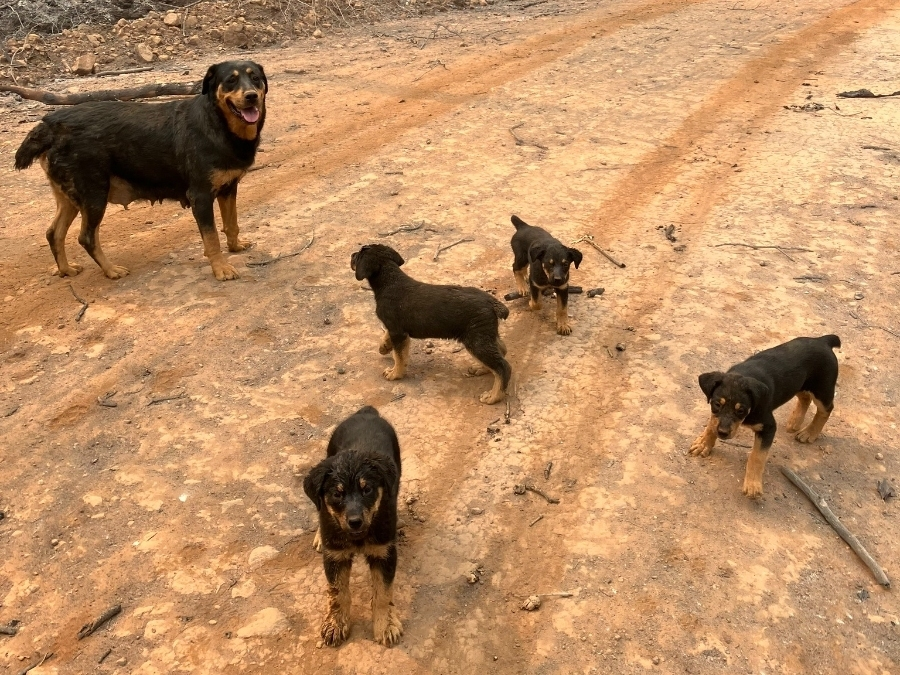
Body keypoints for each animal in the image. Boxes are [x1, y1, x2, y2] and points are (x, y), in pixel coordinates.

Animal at [13, 58, 268, 280]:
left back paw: (65, 269)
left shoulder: (228, 188)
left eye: (255, 78)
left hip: (70, 197)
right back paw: (111, 270)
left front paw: (235, 246)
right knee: (86, 237)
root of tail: (49, 125)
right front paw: (221, 268)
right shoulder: (201, 196)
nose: (252, 96)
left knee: (54, 233)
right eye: (231, 80)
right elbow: (212, 237)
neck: (218, 124)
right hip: (94, 195)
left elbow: (231, 224)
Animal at [302, 406, 400, 648]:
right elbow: (338, 593)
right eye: (337, 494)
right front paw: (336, 624)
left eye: (367, 490)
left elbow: (383, 593)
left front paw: (385, 625)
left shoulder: (384, 552)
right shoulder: (335, 556)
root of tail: (367, 412)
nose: (355, 521)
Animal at [348, 243, 510, 404]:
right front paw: (384, 347)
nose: (351, 255)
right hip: (485, 335)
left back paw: (494, 396)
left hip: (476, 340)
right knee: (501, 351)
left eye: (358, 255)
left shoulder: (397, 331)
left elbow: (399, 357)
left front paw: (395, 374)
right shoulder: (395, 329)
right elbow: (389, 340)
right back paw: (481, 369)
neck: (390, 281)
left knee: (503, 367)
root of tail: (492, 302)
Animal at [688, 336, 844, 500]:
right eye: (717, 404)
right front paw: (703, 444)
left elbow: (757, 456)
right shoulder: (716, 415)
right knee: (805, 398)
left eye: (741, 410)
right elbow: (712, 423)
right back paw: (795, 422)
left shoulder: (768, 426)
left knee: (826, 409)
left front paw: (752, 485)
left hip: (822, 389)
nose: (723, 433)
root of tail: (823, 340)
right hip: (799, 384)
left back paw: (809, 433)